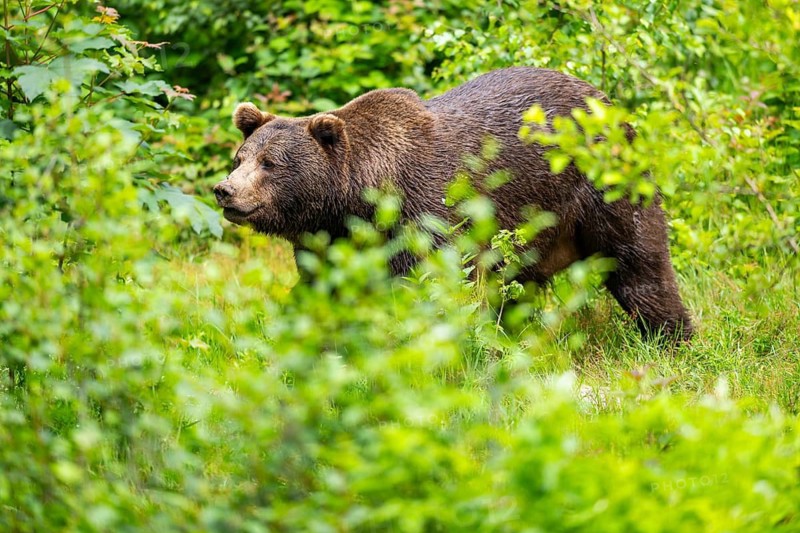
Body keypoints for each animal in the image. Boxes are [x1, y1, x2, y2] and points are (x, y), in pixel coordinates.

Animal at [214, 67, 693, 341]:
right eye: (240, 157)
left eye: (270, 163)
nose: (225, 190)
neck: (360, 201)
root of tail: (608, 102)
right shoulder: (332, 242)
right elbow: (325, 292)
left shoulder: (426, 214)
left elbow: (425, 287)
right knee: (518, 286)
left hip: (599, 184)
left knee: (637, 260)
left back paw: (670, 336)